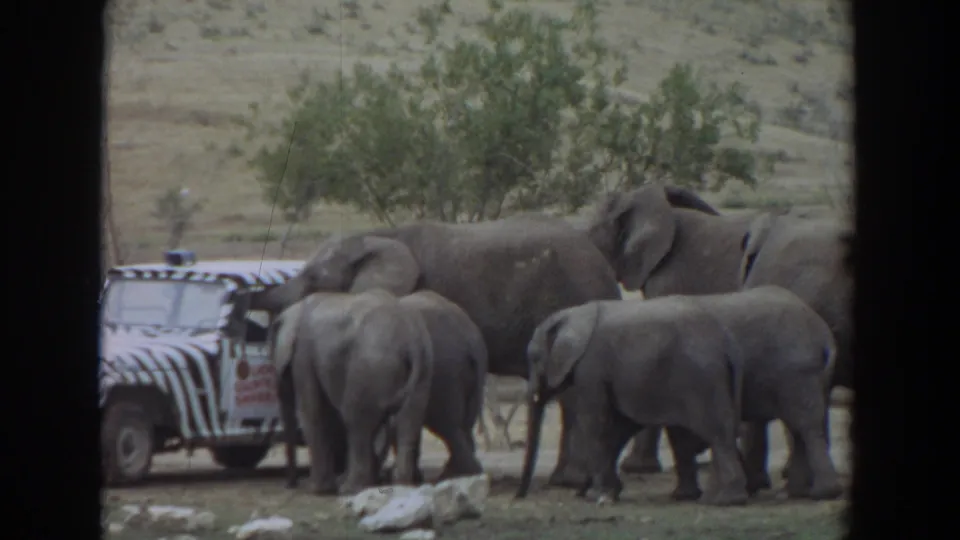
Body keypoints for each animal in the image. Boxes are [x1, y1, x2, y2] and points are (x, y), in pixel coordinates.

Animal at [269, 289, 434, 495]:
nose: (290, 484)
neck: (296, 308)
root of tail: (412, 343)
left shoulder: (303, 355)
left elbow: (313, 411)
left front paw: (316, 489)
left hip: (368, 367)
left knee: (355, 420)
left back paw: (350, 488)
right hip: (422, 373)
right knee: (408, 422)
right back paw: (402, 486)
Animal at [515, 296, 749, 506]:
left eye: (534, 358)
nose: (519, 497)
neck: (573, 314)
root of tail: (727, 342)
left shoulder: (590, 369)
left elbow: (596, 422)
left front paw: (598, 495)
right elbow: (619, 427)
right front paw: (607, 492)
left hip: (702, 380)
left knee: (717, 433)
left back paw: (725, 500)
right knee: (712, 433)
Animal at [682, 285, 844, 500]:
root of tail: (823, 333)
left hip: (796, 371)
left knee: (805, 425)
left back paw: (815, 492)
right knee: (802, 424)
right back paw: (799, 491)